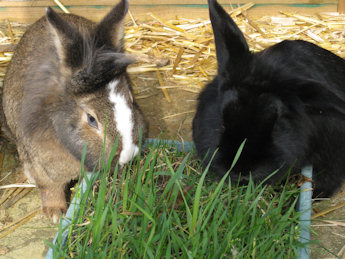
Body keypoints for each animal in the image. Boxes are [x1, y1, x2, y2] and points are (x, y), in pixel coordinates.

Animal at [1, 0, 146, 223]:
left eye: (131, 99)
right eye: (91, 119)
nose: (128, 154)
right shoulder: (42, 167)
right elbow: (49, 189)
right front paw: (56, 214)